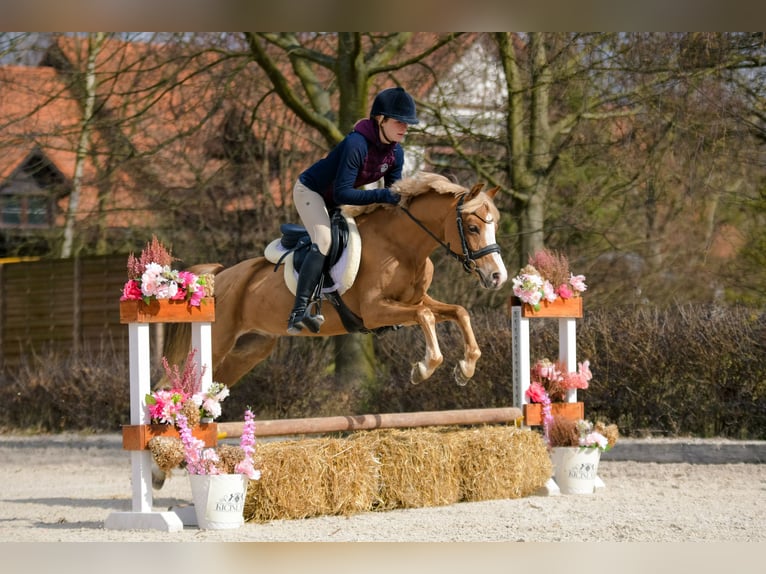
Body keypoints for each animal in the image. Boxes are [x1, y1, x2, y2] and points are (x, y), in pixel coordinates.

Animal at [164, 172, 508, 387]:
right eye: (473, 228)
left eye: (496, 226)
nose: (497, 276)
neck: (402, 246)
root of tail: (220, 276)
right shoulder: (375, 310)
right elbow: (426, 317)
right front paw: (423, 369)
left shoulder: (412, 301)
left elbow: (457, 312)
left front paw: (465, 369)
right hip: (217, 342)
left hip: (249, 349)